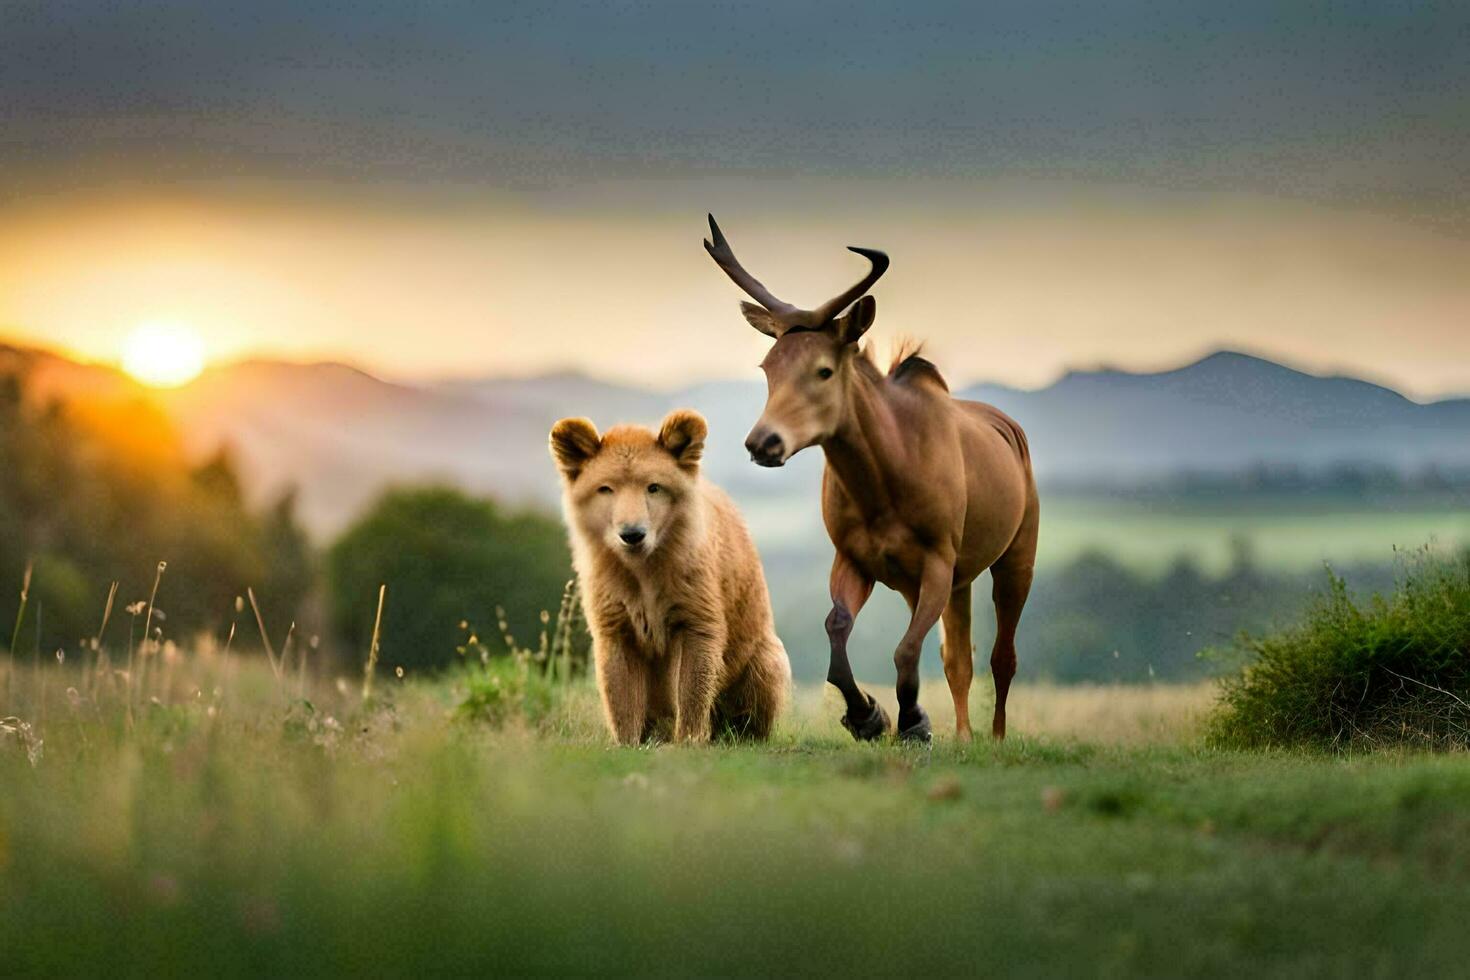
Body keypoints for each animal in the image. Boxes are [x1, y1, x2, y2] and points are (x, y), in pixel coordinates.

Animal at [696, 213, 1034, 734]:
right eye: (767, 366)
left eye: (824, 369)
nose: (762, 443)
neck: (884, 484)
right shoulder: (854, 558)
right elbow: (837, 633)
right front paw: (867, 715)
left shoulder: (939, 558)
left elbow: (906, 649)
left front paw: (913, 721)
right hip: (953, 580)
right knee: (959, 656)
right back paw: (963, 735)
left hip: (1016, 555)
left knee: (1003, 655)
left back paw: (993, 736)